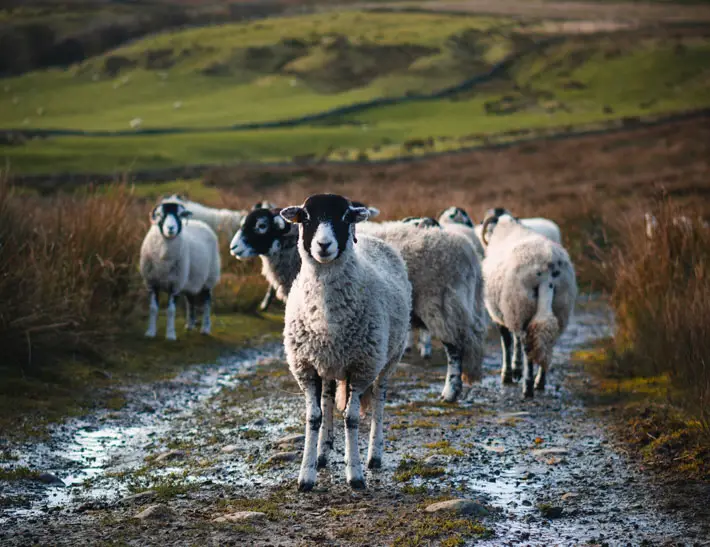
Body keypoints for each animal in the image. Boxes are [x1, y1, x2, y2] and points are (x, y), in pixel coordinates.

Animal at [140, 200, 221, 338]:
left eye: (180, 215)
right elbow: (153, 308)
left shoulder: (175, 284)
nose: (170, 228)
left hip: (209, 278)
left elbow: (171, 310)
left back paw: (205, 328)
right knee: (191, 301)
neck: (164, 259)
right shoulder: (152, 283)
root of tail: (200, 222)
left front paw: (170, 334)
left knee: (207, 303)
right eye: (160, 214)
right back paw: (190, 324)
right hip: (190, 280)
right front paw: (150, 332)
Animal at [280, 194, 412, 492]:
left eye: (344, 217)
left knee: (379, 401)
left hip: (389, 358)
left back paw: (374, 456)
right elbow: (314, 417)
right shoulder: (306, 367)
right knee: (328, 401)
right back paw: (322, 454)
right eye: (306, 217)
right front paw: (306, 476)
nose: (323, 245)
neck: (328, 317)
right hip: (328, 363)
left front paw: (355, 476)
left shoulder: (362, 367)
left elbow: (351, 418)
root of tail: (372, 237)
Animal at [484, 213, 580, 398]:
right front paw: (516, 370)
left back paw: (527, 386)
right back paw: (539, 382)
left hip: (520, 303)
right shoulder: (512, 313)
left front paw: (509, 373)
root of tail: (548, 267)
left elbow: (507, 342)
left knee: (528, 344)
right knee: (547, 338)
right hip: (559, 306)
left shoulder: (501, 314)